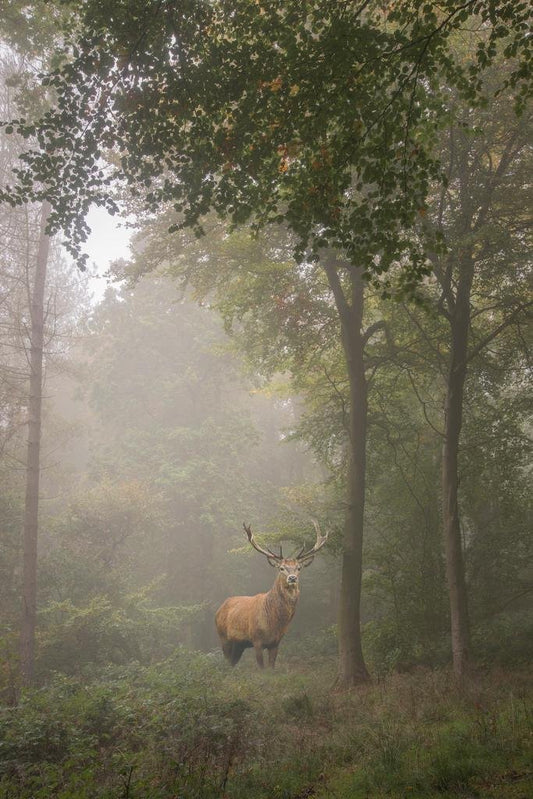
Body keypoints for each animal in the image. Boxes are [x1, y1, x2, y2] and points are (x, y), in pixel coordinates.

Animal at [215, 521, 328, 668]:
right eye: (281, 568)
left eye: (299, 568)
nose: (292, 578)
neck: (274, 623)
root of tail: (219, 609)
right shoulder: (256, 640)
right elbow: (262, 668)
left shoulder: (276, 642)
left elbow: (271, 668)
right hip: (223, 637)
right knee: (226, 662)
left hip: (239, 645)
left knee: (232, 663)